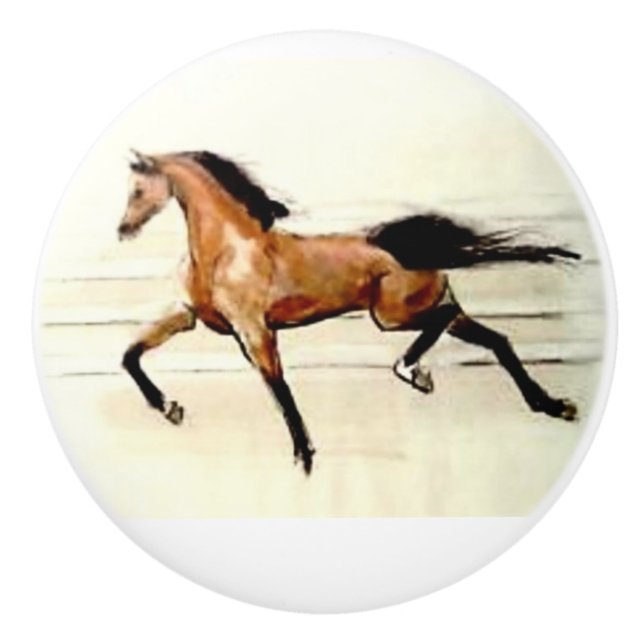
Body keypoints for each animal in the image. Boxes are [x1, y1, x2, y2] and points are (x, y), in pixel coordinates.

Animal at [117, 149, 580, 474]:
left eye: (137, 190)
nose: (123, 230)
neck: (226, 250)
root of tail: (405, 245)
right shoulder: (188, 315)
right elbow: (130, 355)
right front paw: (170, 408)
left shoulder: (254, 331)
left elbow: (279, 387)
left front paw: (304, 458)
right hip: (423, 308)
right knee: (495, 338)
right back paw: (550, 404)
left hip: (392, 315)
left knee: (450, 324)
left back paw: (413, 372)